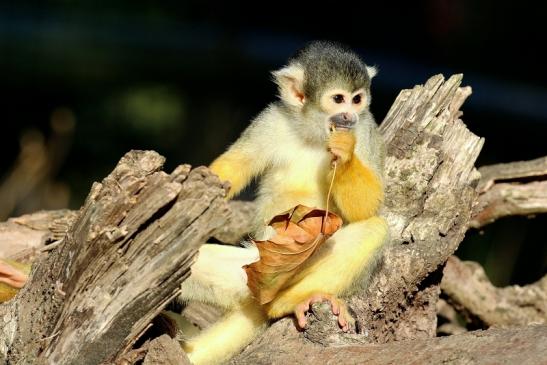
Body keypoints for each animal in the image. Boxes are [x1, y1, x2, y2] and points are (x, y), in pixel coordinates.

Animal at [178, 41, 388, 362]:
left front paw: (345, 153)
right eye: (339, 99)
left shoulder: (365, 129)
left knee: (375, 229)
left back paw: (288, 304)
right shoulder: (272, 119)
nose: (349, 116)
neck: (314, 132)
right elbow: (236, 165)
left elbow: (368, 208)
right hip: (249, 270)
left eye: (357, 99)